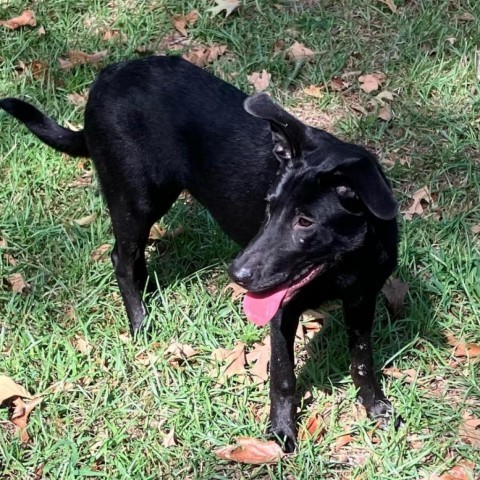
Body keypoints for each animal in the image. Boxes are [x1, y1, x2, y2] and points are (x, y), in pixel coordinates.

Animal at [0, 54, 398, 452]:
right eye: (269, 207)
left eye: (305, 222)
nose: (237, 275)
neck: (346, 264)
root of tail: (106, 77)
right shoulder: (281, 310)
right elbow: (283, 378)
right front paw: (281, 433)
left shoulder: (362, 299)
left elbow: (362, 360)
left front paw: (374, 405)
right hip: (136, 199)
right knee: (122, 259)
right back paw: (140, 323)